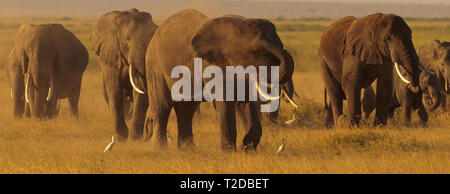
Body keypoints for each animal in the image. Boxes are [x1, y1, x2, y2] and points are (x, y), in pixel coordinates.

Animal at [89, 9, 158, 140]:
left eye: (153, 37)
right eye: (127, 39)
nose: (150, 122)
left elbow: (140, 95)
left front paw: (134, 140)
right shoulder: (111, 53)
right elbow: (115, 89)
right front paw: (122, 137)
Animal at [144, 9, 296, 151]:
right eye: (257, 51)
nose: (285, 50)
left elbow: (244, 100)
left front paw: (247, 148)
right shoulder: (211, 64)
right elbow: (224, 101)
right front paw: (230, 152)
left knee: (186, 108)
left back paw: (188, 149)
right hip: (154, 64)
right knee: (162, 105)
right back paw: (160, 149)